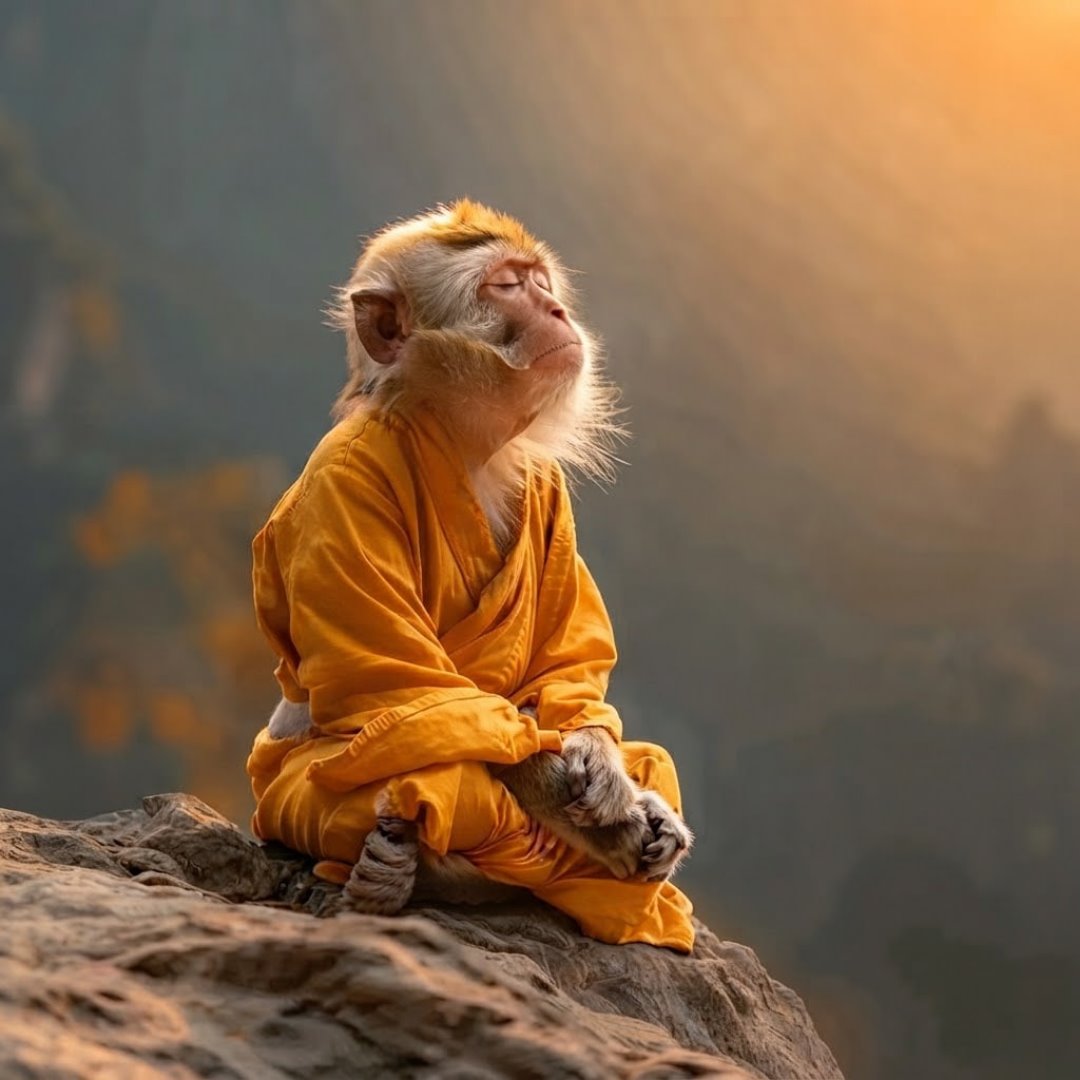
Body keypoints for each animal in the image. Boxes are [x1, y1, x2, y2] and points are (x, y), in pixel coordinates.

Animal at [253, 200, 693, 931]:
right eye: (506, 287)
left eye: (540, 281)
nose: (556, 311)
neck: (462, 442)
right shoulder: (345, 486)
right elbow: (422, 695)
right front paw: (611, 820)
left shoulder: (547, 491)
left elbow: (562, 669)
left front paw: (605, 767)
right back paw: (398, 871)